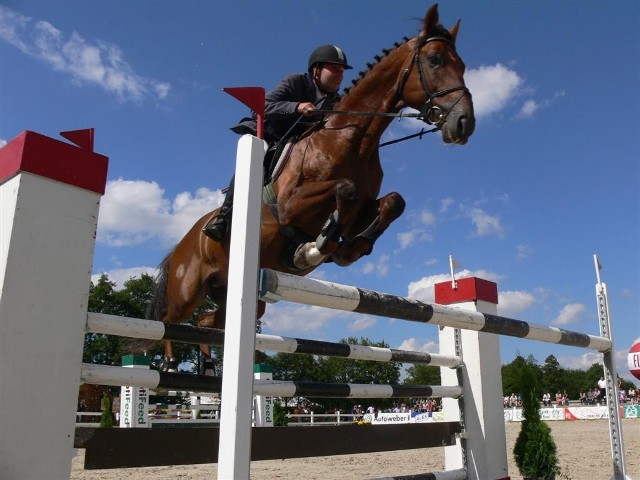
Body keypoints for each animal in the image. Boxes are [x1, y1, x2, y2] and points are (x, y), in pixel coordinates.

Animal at [141, 3, 476, 370]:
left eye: (462, 65)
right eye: (435, 60)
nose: (465, 123)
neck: (352, 137)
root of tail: (185, 240)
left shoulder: (366, 206)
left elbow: (392, 202)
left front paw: (350, 248)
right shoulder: (291, 206)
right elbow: (345, 190)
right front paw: (320, 244)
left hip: (236, 293)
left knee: (206, 322)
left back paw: (211, 362)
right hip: (189, 289)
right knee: (168, 320)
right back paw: (170, 363)